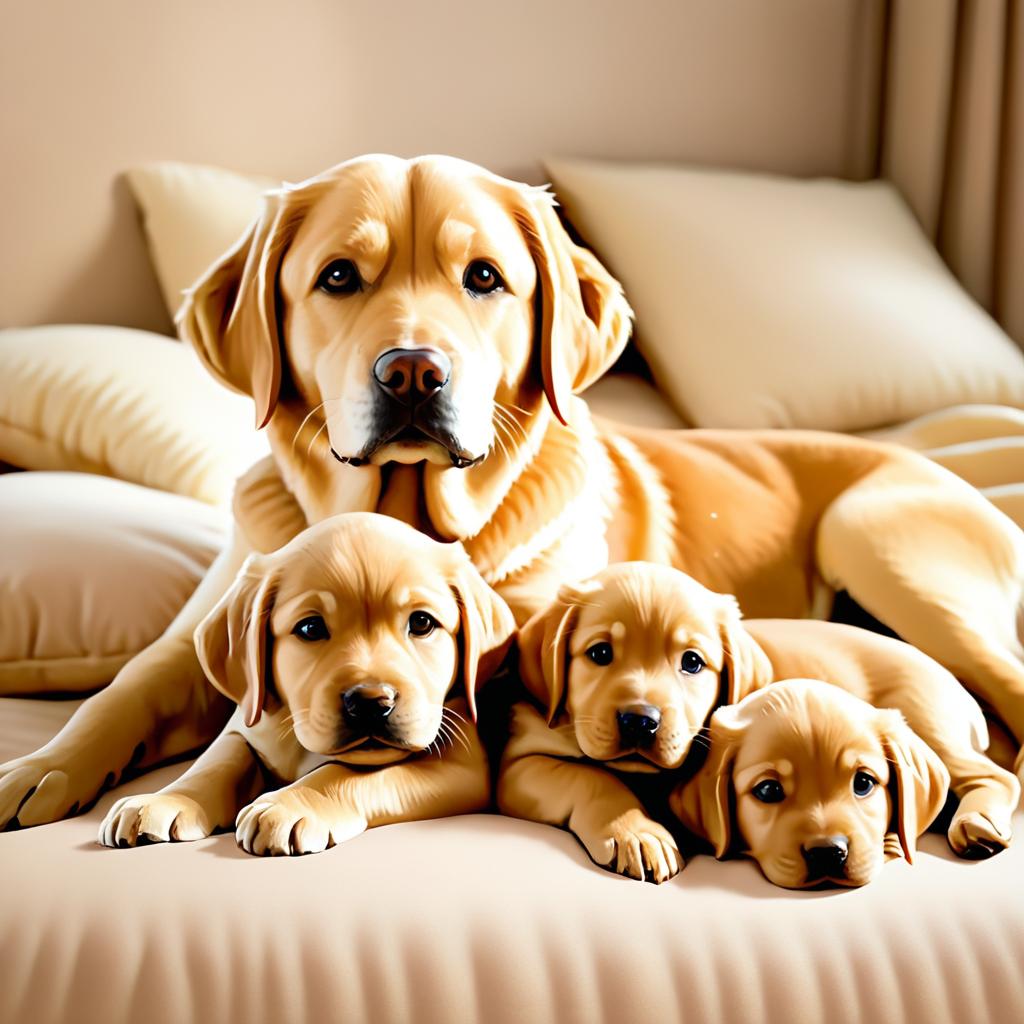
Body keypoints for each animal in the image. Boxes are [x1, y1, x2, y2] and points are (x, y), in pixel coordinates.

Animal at [96, 512, 512, 856]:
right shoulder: (247, 722)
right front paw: (165, 800)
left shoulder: (462, 761)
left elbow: (345, 774)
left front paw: (289, 805)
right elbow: (215, 763)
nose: (371, 702)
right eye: (310, 628)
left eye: (422, 622)